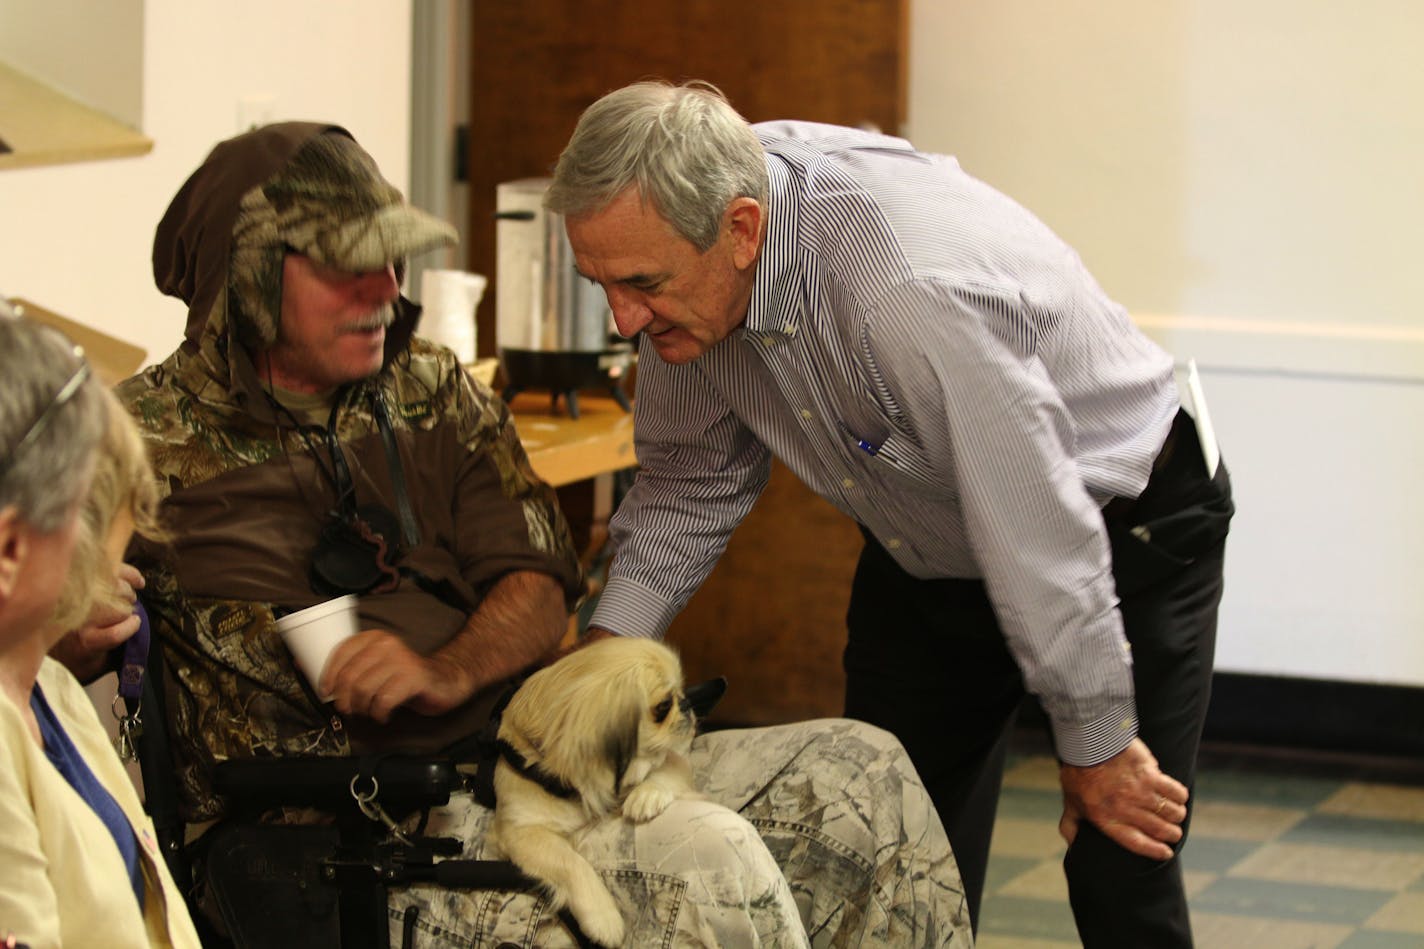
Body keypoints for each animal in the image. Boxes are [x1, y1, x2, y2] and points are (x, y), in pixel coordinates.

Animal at [489, 632, 706, 940]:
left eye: (681, 694)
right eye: (663, 707)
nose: (686, 705)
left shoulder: (676, 761)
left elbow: (664, 772)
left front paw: (645, 795)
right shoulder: (519, 832)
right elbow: (571, 862)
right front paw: (604, 917)